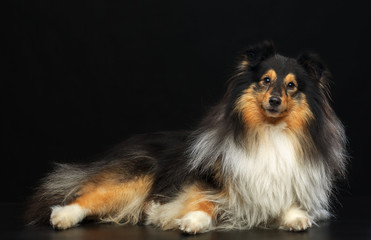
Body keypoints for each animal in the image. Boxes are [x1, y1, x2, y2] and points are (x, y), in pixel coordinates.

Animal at [24, 40, 348, 233]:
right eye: (266, 80)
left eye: (292, 85)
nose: (275, 100)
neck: (269, 130)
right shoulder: (207, 179)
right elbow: (203, 200)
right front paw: (192, 220)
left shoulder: (285, 182)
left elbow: (288, 200)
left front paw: (295, 217)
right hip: (135, 176)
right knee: (84, 195)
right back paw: (63, 216)